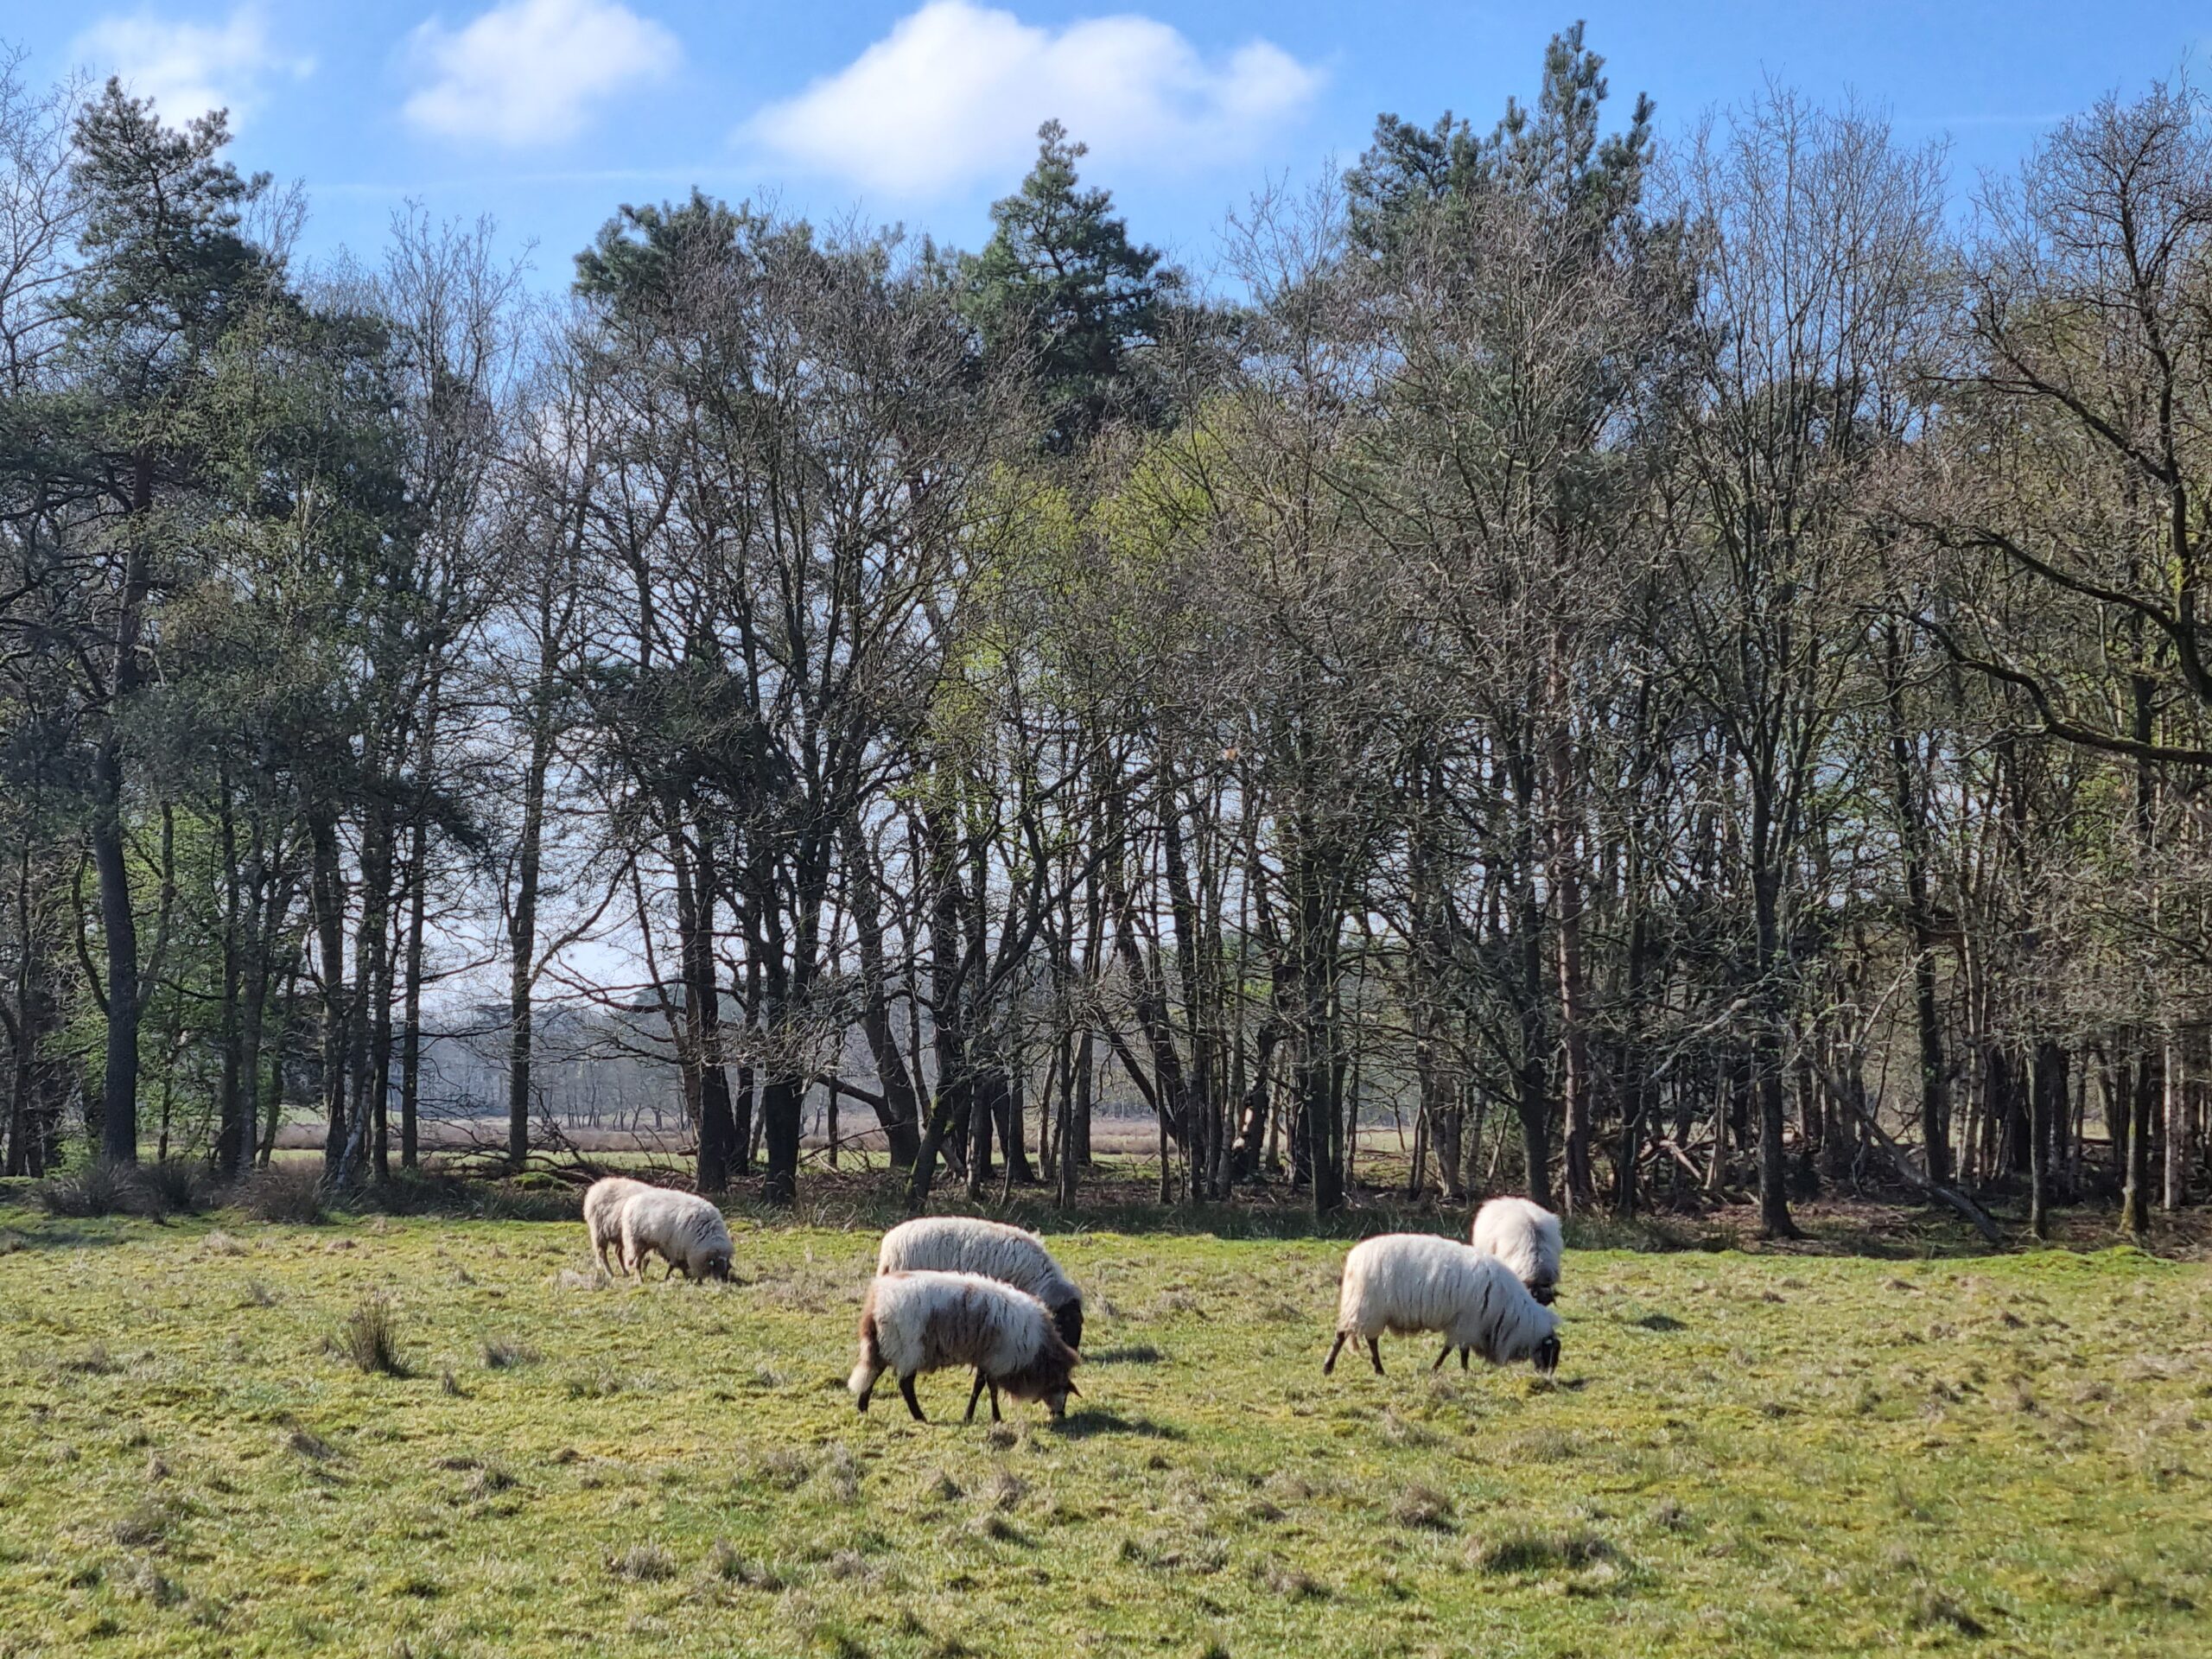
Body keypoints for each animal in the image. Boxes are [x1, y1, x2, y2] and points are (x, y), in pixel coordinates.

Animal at [619, 1194, 739, 1282]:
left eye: (727, 1269)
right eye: (716, 1269)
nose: (724, 1283)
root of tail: (632, 1200)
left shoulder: (684, 1250)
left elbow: (680, 1265)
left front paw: (687, 1277)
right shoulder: (677, 1248)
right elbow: (674, 1265)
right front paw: (673, 1277)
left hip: (647, 1242)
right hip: (637, 1241)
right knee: (637, 1262)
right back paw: (640, 1279)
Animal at [844, 1274, 1079, 1433]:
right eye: (1064, 1390)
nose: (1060, 1415)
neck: (1038, 1353)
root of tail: (877, 1299)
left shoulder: (986, 1358)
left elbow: (982, 1386)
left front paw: (977, 1416)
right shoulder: (998, 1360)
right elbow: (988, 1388)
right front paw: (992, 1417)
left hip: (887, 1345)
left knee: (873, 1373)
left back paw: (863, 1408)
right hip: (908, 1347)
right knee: (905, 1384)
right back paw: (920, 1417)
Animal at [1318, 1238, 1566, 1380]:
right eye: (1550, 1352)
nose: (1549, 1377)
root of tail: (1354, 1258)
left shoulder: (1466, 1325)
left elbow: (1458, 1349)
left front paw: (1455, 1369)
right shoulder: (1466, 1323)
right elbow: (1454, 1349)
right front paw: (1450, 1369)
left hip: (1368, 1309)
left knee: (1367, 1339)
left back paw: (1374, 1368)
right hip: (1366, 1306)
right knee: (1346, 1336)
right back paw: (1333, 1367)